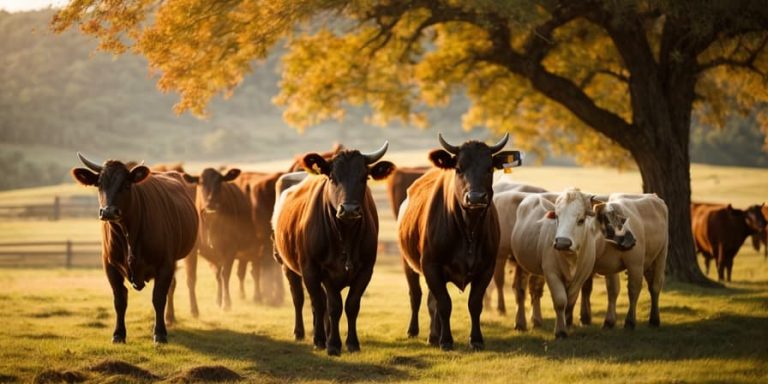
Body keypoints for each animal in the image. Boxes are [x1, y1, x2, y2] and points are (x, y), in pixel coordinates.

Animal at [71, 153, 198, 342]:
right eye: (99, 184)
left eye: (126, 184)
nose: (108, 211)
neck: (128, 233)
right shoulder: (109, 266)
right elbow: (119, 299)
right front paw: (118, 334)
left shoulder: (165, 264)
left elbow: (158, 298)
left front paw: (160, 333)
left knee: (172, 287)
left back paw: (170, 318)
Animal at [184, 167, 254, 308]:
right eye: (200, 182)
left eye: (220, 181)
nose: (211, 201)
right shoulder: (192, 251)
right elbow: (191, 278)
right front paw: (193, 308)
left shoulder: (230, 248)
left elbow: (225, 274)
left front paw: (226, 303)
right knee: (217, 274)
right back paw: (217, 299)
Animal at [272, 142, 392, 356]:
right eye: (333, 177)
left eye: (364, 177)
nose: (349, 209)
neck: (345, 234)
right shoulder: (319, 270)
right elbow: (331, 306)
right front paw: (331, 343)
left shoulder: (365, 271)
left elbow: (351, 305)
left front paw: (351, 343)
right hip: (289, 266)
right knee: (301, 299)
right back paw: (305, 334)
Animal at [400, 134, 520, 350]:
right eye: (458, 168)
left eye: (489, 168)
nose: (475, 197)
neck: (468, 230)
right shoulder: (431, 266)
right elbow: (444, 304)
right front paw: (446, 340)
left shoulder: (486, 268)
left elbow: (474, 304)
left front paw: (476, 339)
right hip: (408, 263)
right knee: (416, 296)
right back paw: (414, 331)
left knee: (431, 301)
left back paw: (433, 335)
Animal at [510, 189, 600, 340]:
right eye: (557, 217)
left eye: (581, 220)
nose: (562, 242)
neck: (571, 260)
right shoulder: (551, 274)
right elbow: (560, 301)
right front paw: (560, 331)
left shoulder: (581, 277)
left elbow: (570, 302)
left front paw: (567, 324)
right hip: (521, 264)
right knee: (520, 290)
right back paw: (520, 323)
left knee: (535, 289)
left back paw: (536, 320)